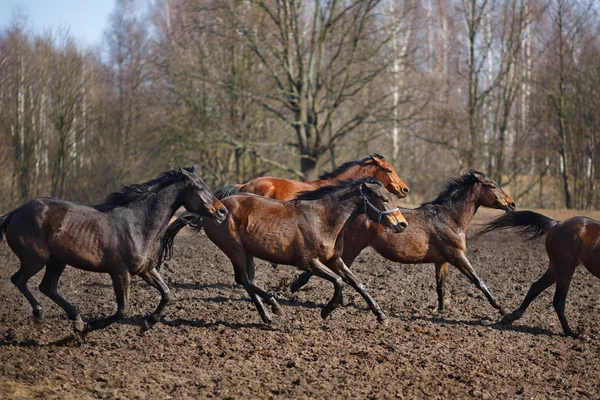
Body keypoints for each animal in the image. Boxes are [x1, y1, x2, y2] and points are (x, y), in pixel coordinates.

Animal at [0, 166, 229, 334]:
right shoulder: (120, 273)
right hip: (36, 258)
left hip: (57, 260)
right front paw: (90, 327)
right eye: (199, 188)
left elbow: (166, 293)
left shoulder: (146, 270)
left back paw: (76, 318)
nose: (223, 212)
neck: (137, 224)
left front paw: (148, 322)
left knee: (47, 287)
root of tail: (13, 213)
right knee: (19, 280)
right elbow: (122, 310)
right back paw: (41, 316)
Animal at [159, 178, 408, 324]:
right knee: (244, 280)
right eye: (383, 198)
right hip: (235, 249)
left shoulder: (334, 259)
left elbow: (357, 283)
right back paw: (274, 306)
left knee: (247, 280)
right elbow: (339, 282)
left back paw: (268, 315)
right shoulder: (308, 262)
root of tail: (215, 209)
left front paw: (381, 315)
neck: (323, 219)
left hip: (247, 252)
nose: (402, 224)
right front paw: (326, 311)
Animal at [290, 170, 516, 318]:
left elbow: (441, 287)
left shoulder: (442, 261)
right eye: (492, 185)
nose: (512, 204)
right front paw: (502, 308)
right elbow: (479, 281)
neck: (449, 218)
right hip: (351, 250)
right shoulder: (457, 256)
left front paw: (440, 310)